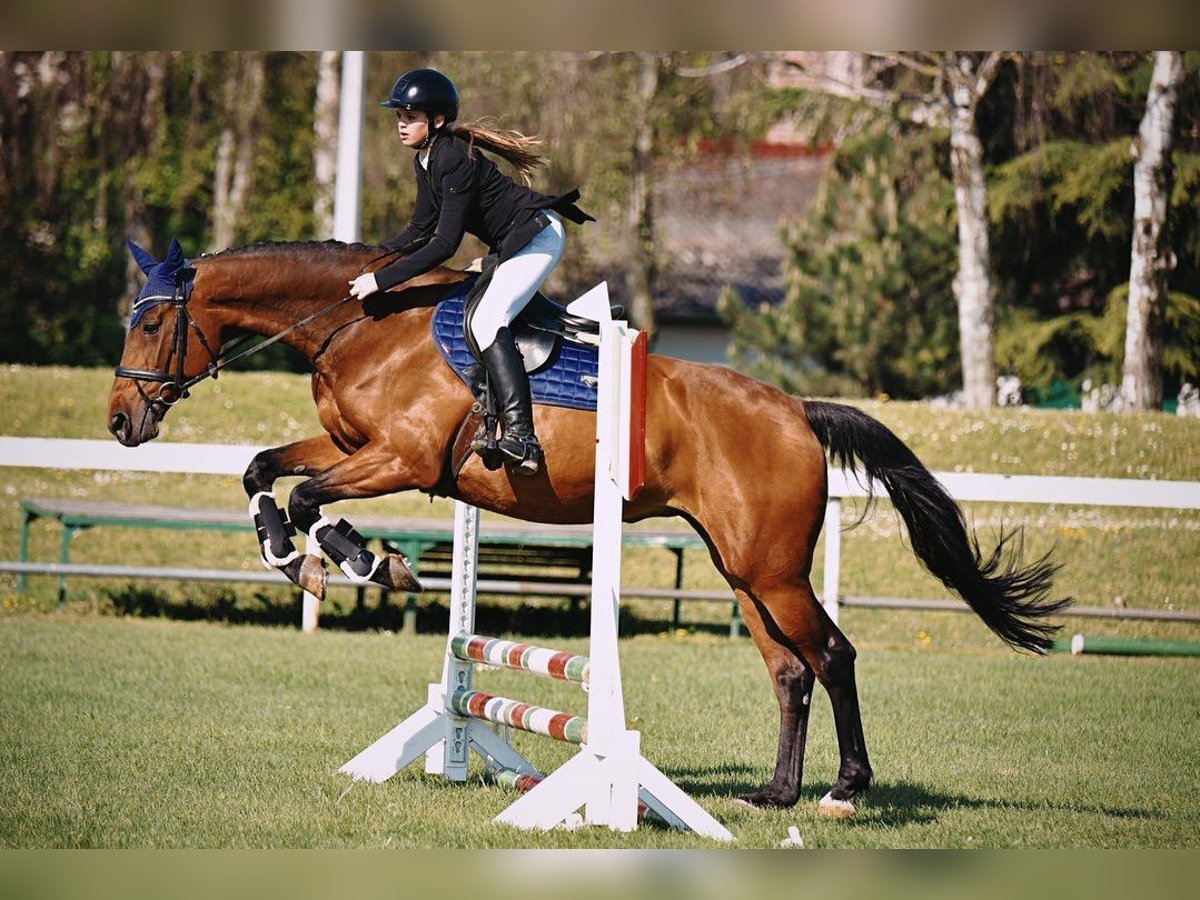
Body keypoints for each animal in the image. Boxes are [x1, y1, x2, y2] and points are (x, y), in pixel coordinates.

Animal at [110, 237, 1070, 816]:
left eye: (152, 321)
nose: (122, 421)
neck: (361, 323)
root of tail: (796, 408)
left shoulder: (400, 459)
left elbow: (311, 498)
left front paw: (359, 564)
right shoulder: (353, 447)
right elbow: (264, 470)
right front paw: (292, 554)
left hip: (772, 570)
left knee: (831, 655)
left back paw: (841, 791)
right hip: (741, 569)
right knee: (789, 671)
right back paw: (773, 795)